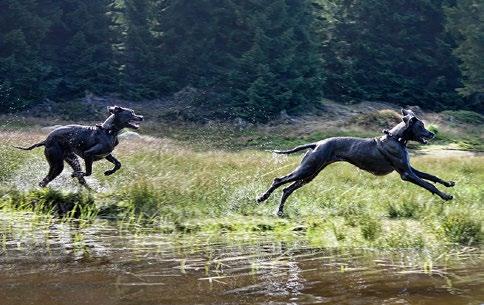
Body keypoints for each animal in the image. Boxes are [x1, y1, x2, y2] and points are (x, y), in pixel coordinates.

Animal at [15, 106, 143, 188]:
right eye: (132, 113)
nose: (141, 117)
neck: (109, 131)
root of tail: (45, 140)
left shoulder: (107, 155)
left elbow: (118, 164)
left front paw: (108, 172)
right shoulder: (88, 154)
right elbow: (88, 172)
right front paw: (75, 174)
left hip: (71, 159)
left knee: (47, 181)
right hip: (58, 163)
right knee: (46, 180)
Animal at [260, 108, 456, 215]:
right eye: (421, 125)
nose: (432, 134)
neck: (397, 139)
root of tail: (317, 143)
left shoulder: (410, 169)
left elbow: (432, 177)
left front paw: (448, 183)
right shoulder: (406, 174)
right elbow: (428, 184)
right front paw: (445, 196)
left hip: (310, 174)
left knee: (287, 189)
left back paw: (279, 211)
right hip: (307, 169)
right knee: (279, 180)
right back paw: (262, 197)